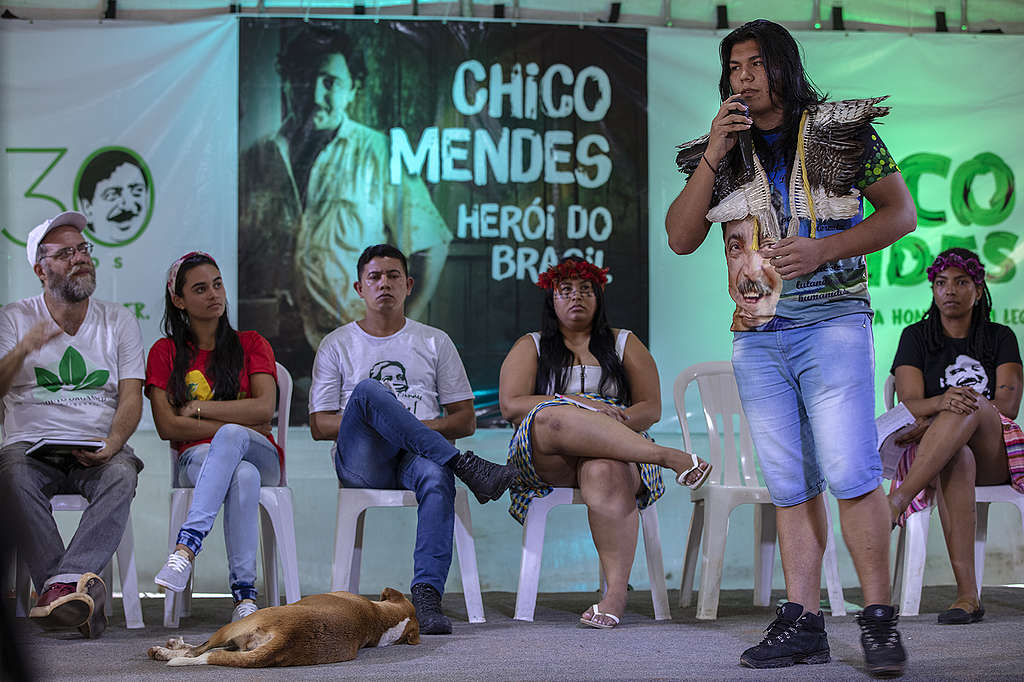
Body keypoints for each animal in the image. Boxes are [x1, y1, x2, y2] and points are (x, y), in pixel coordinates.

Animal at [147, 585, 415, 663]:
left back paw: (164, 651)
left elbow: (197, 649)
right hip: (242, 642)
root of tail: (288, 637)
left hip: (236, 627)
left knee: (198, 650)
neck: (379, 619)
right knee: (208, 650)